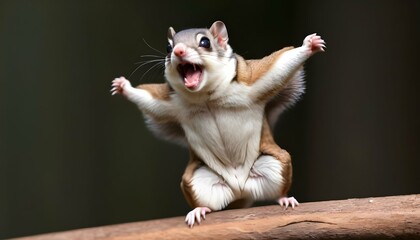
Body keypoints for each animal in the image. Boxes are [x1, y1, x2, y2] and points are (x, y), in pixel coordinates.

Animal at [110, 20, 324, 227]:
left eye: (205, 42)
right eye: (168, 47)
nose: (178, 51)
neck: (207, 97)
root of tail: (240, 189)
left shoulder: (251, 80)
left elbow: (279, 67)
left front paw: (309, 45)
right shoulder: (171, 103)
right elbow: (149, 100)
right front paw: (123, 87)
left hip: (275, 163)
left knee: (277, 188)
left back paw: (284, 199)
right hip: (197, 180)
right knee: (208, 201)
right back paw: (199, 210)